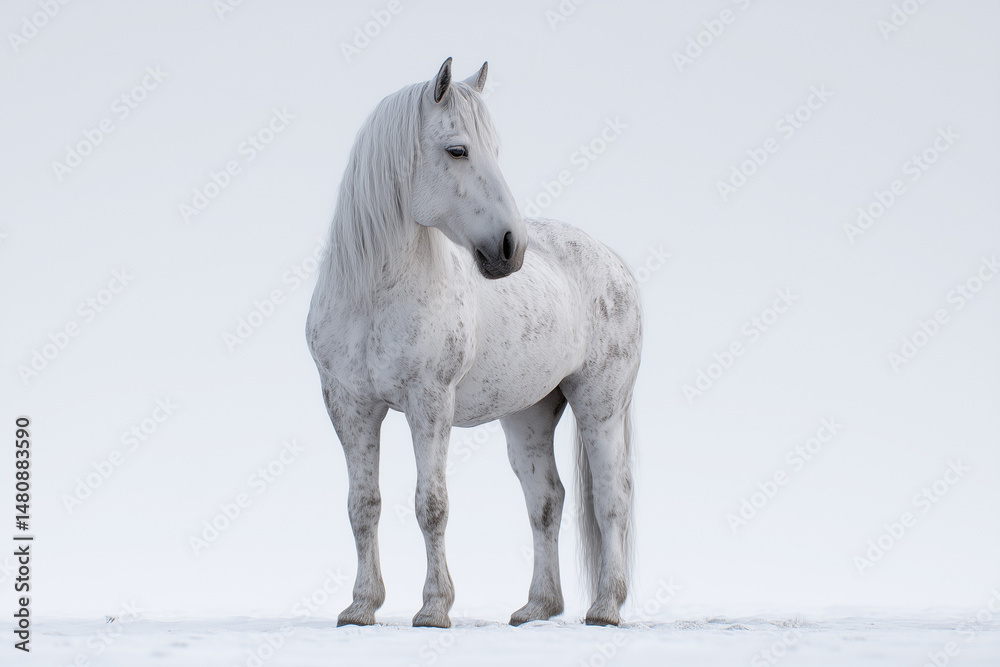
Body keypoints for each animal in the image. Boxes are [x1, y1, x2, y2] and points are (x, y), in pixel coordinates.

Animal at [306, 58, 641, 628]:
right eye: (457, 150)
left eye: (495, 150)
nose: (511, 249)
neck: (373, 295)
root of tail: (614, 262)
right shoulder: (350, 407)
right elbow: (362, 505)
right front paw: (361, 606)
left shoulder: (429, 402)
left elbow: (431, 504)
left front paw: (433, 608)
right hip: (528, 415)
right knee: (546, 500)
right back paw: (537, 607)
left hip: (601, 405)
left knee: (611, 497)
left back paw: (605, 608)